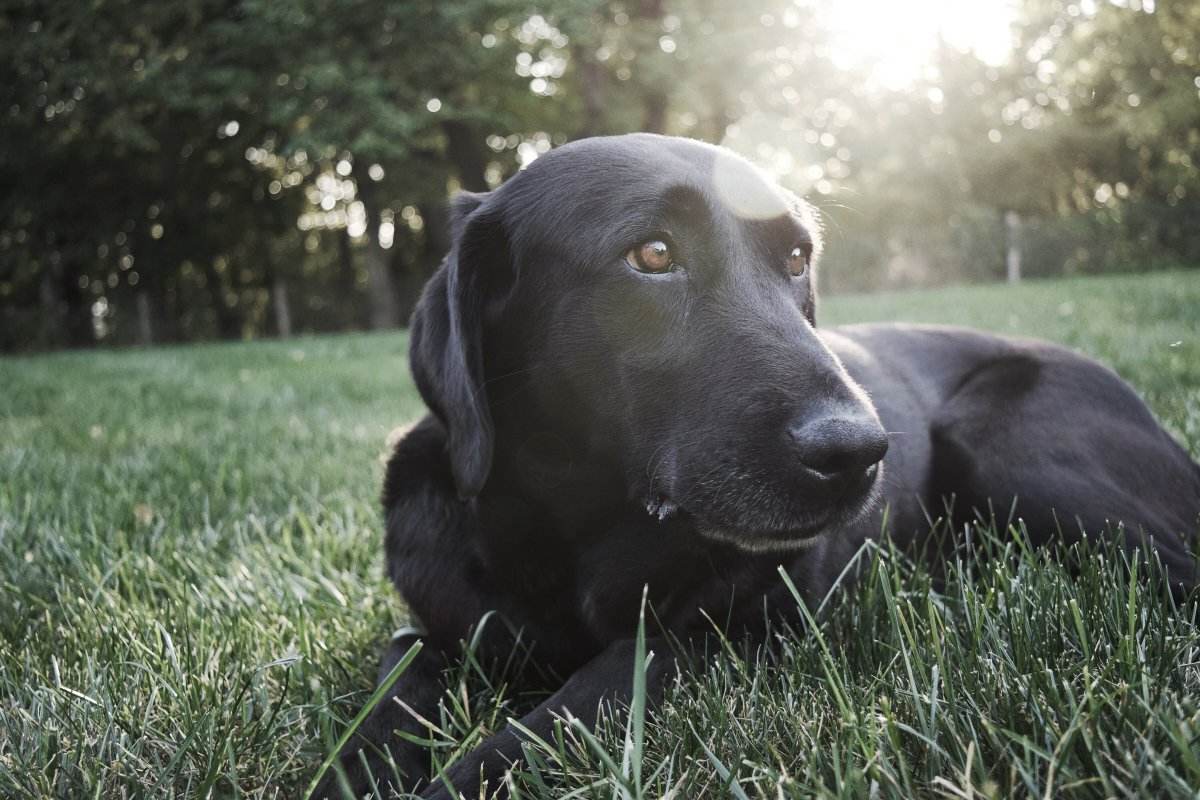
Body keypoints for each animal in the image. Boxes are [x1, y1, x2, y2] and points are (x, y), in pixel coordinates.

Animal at [316, 134, 1200, 796]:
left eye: (799, 258)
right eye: (652, 254)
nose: (860, 452)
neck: (575, 530)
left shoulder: (721, 633)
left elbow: (582, 698)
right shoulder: (436, 627)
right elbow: (392, 688)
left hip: (1006, 448)